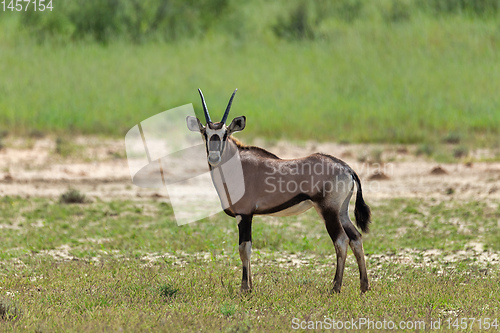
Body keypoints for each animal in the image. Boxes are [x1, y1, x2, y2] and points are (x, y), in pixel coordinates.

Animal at [188, 89, 372, 294]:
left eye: (225, 133)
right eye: (205, 133)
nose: (214, 157)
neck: (237, 165)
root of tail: (347, 168)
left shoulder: (244, 215)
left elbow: (244, 249)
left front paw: (244, 289)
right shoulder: (247, 216)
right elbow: (248, 248)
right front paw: (250, 287)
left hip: (328, 210)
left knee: (340, 240)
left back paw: (335, 287)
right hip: (341, 211)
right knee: (356, 238)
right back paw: (364, 286)